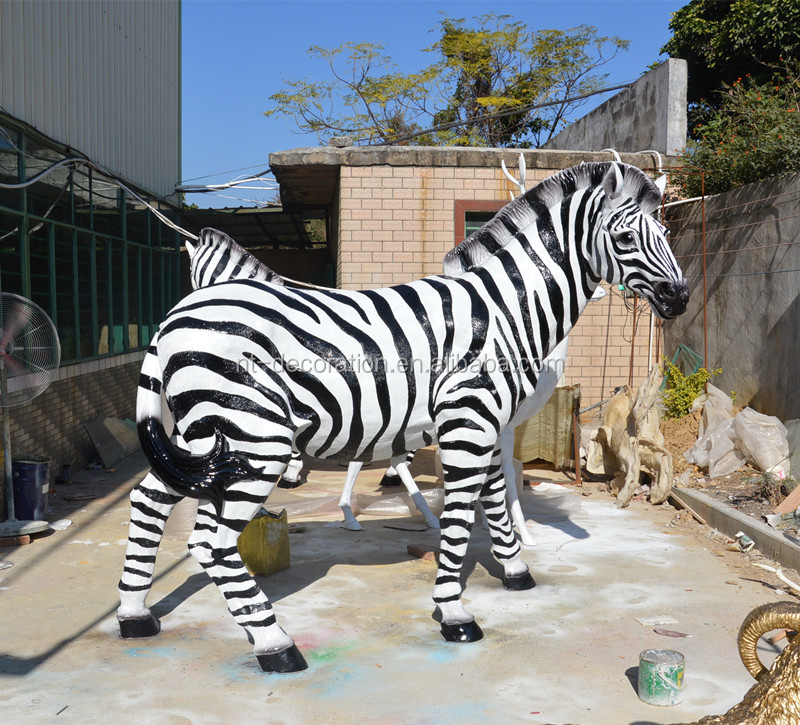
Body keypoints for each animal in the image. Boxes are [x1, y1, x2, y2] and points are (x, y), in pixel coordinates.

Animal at [118, 161, 688, 673]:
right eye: (624, 237)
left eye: (665, 234)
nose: (680, 298)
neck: (504, 311)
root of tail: (175, 315)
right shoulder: (470, 418)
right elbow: (461, 517)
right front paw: (454, 612)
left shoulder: (488, 423)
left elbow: (495, 500)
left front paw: (515, 569)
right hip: (255, 440)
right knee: (209, 543)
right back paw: (275, 644)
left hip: (205, 437)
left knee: (148, 499)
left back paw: (135, 614)